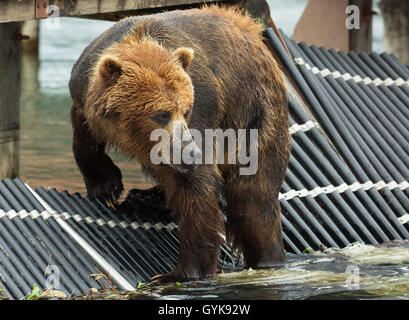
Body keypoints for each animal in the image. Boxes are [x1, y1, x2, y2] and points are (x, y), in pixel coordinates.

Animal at [68, 4, 290, 280]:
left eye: (186, 110)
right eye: (161, 114)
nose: (190, 153)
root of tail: (251, 30)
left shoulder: (204, 106)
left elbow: (196, 190)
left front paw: (184, 270)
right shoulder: (83, 92)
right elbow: (84, 138)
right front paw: (106, 187)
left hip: (254, 112)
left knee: (254, 195)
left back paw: (268, 257)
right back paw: (146, 197)